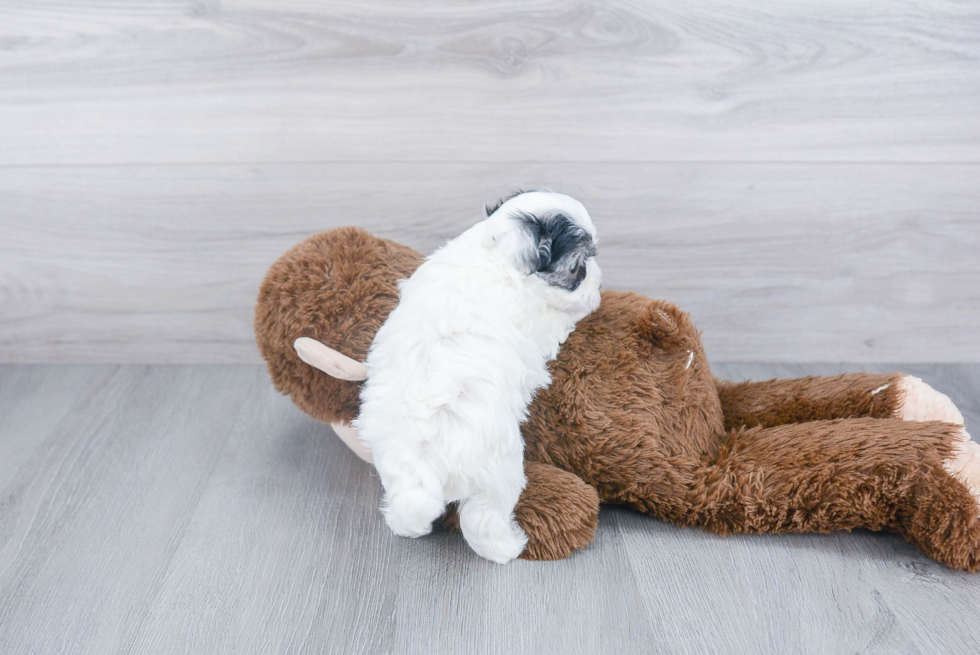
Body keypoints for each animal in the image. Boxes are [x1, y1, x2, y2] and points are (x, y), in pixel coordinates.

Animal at [348, 190, 600, 564]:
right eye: (577, 268)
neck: (494, 252)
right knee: (484, 518)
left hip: (395, 466)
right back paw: (508, 545)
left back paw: (401, 522)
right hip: (498, 473)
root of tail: (425, 455)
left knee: (408, 504)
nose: (599, 280)